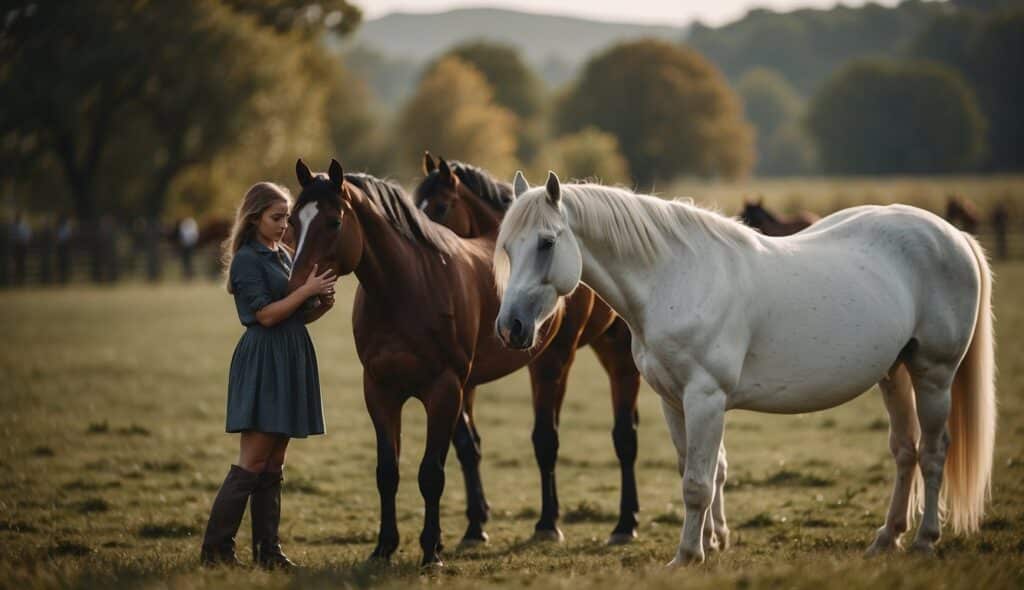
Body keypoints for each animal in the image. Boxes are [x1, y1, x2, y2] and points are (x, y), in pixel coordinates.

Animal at [284, 159, 573, 565]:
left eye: (334, 222)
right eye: (292, 221)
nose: (300, 295)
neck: (407, 290)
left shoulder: (443, 390)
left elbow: (431, 474)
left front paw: (430, 550)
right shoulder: (380, 391)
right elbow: (387, 472)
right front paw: (384, 547)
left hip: (549, 364)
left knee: (546, 441)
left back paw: (548, 524)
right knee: (472, 449)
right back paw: (475, 528)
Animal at [413, 151, 638, 544]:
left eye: (440, 207)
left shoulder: (551, 361)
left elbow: (545, 440)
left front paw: (548, 523)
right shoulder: (462, 377)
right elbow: (467, 445)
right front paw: (476, 524)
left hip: (620, 353)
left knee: (626, 436)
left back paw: (625, 523)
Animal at [493, 172, 991, 565]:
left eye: (546, 242)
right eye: (508, 247)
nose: (510, 327)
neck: (676, 278)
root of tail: (954, 236)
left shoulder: (705, 399)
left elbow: (697, 482)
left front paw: (688, 555)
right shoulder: (673, 401)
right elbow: (699, 470)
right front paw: (709, 544)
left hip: (934, 374)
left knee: (932, 452)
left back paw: (925, 540)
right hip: (895, 373)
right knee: (905, 451)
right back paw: (886, 539)